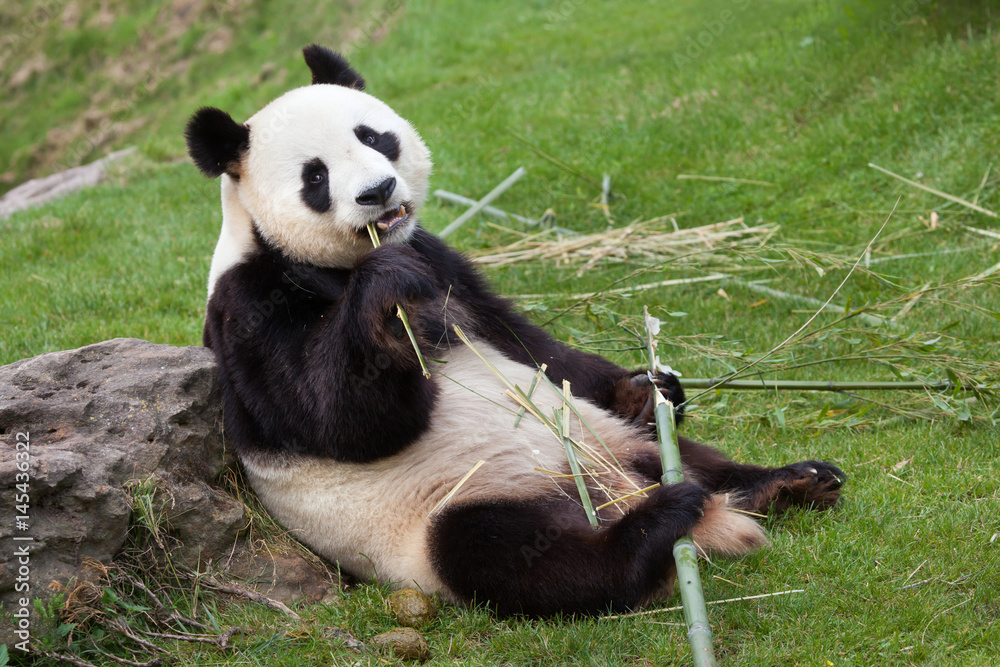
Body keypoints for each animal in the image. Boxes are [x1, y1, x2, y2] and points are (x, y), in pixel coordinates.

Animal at [184, 45, 845, 617]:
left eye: (371, 137)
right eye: (315, 178)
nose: (378, 192)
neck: (333, 263)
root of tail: (606, 490)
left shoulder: (446, 265)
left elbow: (532, 346)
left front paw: (649, 385)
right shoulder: (248, 305)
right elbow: (332, 416)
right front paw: (386, 293)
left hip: (600, 440)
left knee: (685, 456)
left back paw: (787, 482)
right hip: (445, 509)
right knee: (512, 556)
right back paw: (656, 529)